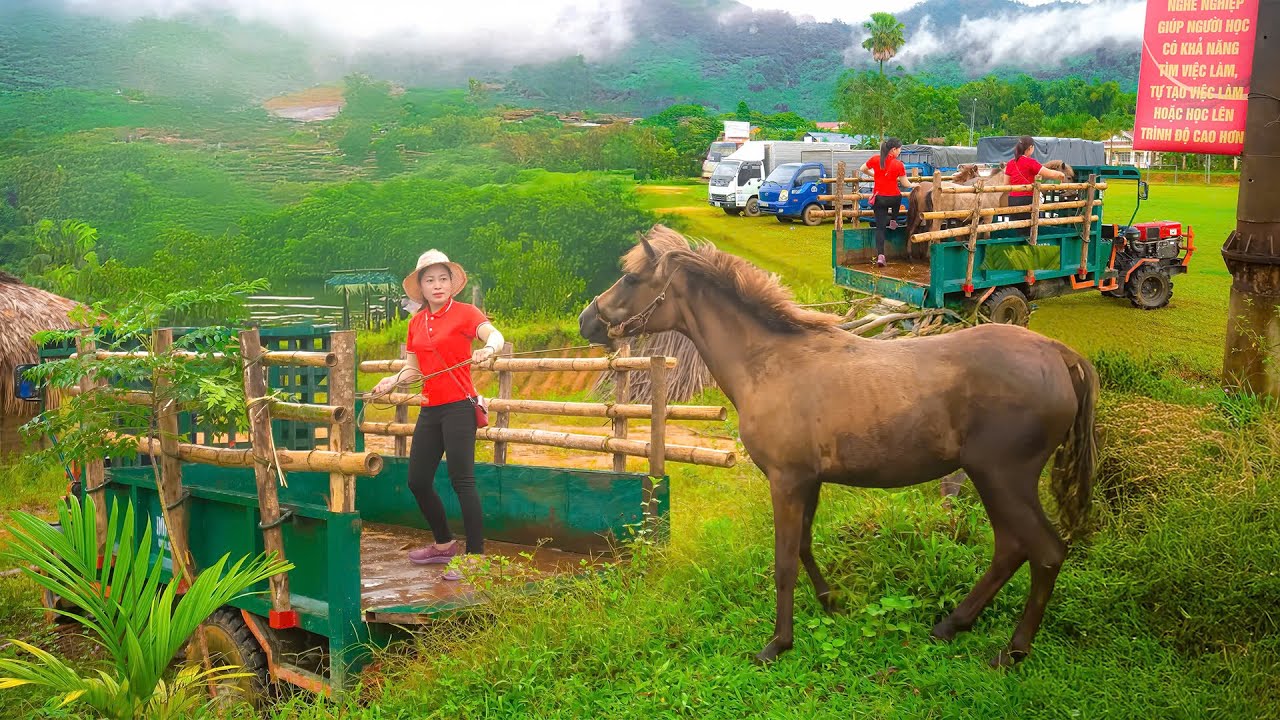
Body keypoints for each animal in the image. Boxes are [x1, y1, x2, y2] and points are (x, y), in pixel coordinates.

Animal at [579, 225, 1098, 668]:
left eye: (631, 278)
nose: (587, 320)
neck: (771, 362)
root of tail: (1060, 354)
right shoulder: (809, 481)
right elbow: (805, 547)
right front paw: (832, 602)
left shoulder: (786, 481)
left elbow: (784, 560)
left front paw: (778, 643)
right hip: (992, 480)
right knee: (1011, 549)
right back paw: (951, 625)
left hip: (1003, 478)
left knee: (1044, 552)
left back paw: (1012, 651)